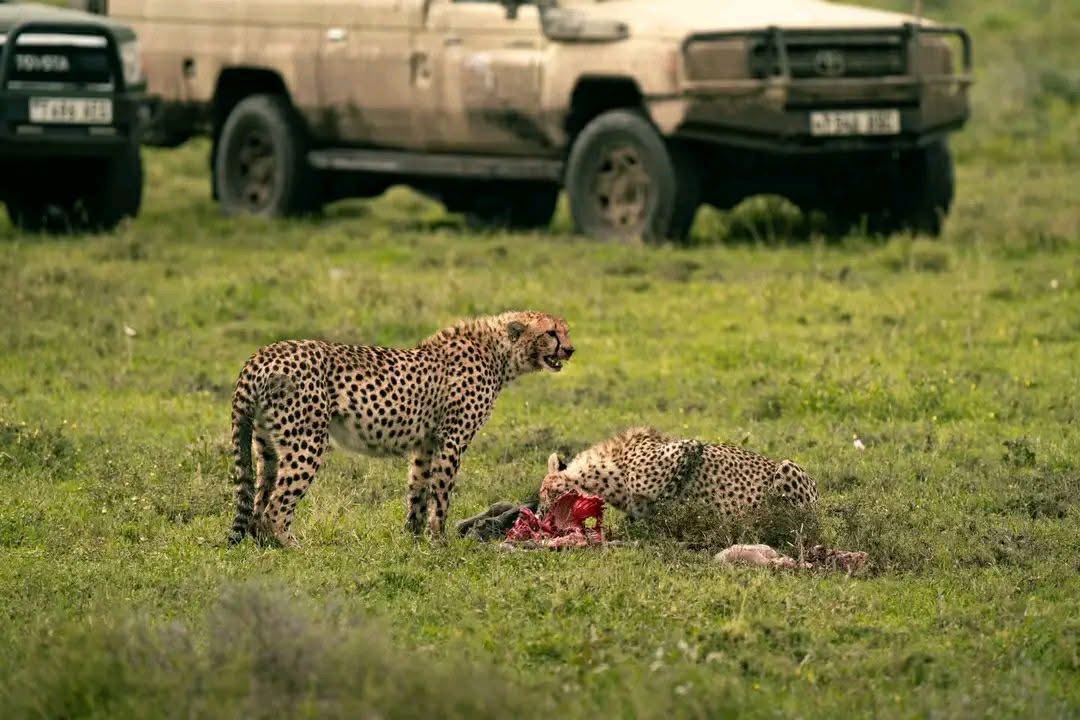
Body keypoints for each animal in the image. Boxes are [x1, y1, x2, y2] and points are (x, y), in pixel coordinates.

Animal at [227, 310, 574, 547]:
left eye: (566, 331)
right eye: (551, 333)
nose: (570, 350)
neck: (499, 352)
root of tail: (264, 353)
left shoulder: (426, 443)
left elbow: (418, 490)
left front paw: (414, 538)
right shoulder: (452, 440)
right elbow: (441, 495)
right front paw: (439, 542)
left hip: (267, 445)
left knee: (259, 502)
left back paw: (264, 546)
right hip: (306, 442)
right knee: (275, 507)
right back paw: (293, 547)